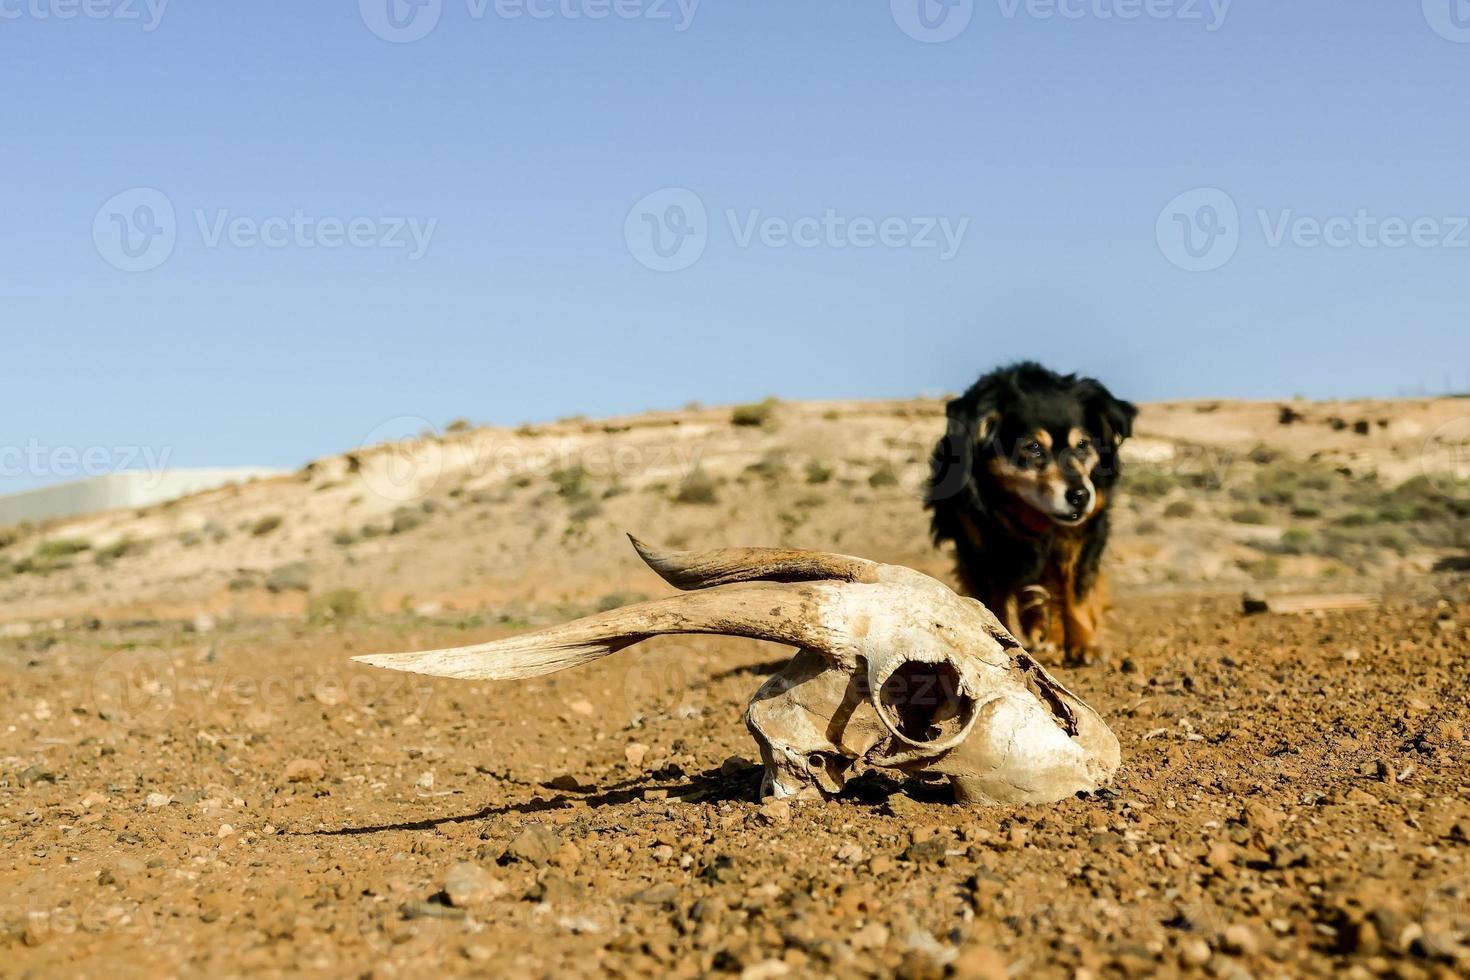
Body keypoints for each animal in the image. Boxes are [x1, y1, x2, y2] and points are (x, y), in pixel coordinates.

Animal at [929, 362, 1134, 667]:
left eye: (1083, 445)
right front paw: (1000, 637)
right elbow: (993, 598)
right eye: (1033, 448)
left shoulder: (1086, 532)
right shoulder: (976, 540)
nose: (1080, 496)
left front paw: (1084, 644)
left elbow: (1077, 591)